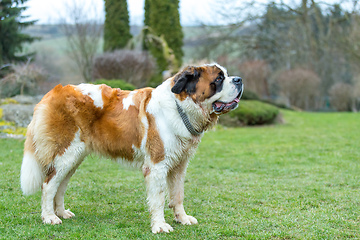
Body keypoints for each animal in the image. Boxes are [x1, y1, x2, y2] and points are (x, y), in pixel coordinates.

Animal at [20, 62, 245, 233]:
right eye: (219, 79)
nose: (239, 79)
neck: (180, 107)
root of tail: (53, 92)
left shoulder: (179, 164)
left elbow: (178, 194)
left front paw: (182, 218)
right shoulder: (157, 165)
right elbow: (159, 197)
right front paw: (160, 226)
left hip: (73, 158)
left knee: (60, 185)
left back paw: (61, 212)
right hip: (66, 153)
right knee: (48, 185)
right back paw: (49, 217)